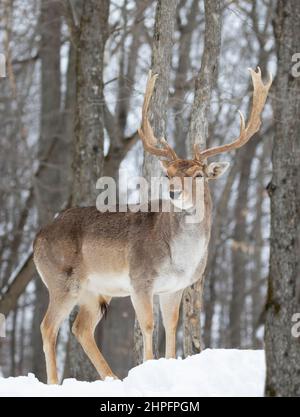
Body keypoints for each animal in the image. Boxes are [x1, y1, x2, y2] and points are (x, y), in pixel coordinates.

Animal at [33, 68, 272, 384]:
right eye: (169, 173)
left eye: (198, 175)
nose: (173, 192)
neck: (180, 259)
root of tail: (37, 238)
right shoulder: (140, 279)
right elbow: (148, 325)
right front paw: (148, 367)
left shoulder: (176, 287)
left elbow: (171, 326)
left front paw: (169, 365)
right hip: (61, 280)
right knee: (48, 327)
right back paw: (54, 382)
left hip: (95, 291)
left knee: (80, 328)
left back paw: (113, 378)